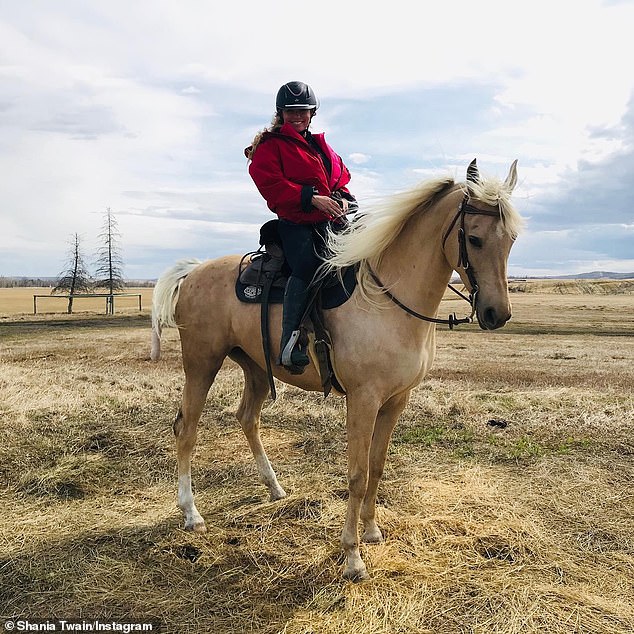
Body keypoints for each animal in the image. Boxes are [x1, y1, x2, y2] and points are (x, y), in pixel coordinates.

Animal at [151, 158, 520, 576]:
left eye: (511, 239)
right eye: (474, 239)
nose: (497, 314)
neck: (387, 299)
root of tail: (194, 272)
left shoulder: (397, 400)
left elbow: (377, 465)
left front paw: (372, 531)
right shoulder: (363, 400)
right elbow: (357, 474)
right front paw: (352, 556)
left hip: (256, 367)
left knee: (247, 418)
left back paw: (274, 488)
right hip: (201, 364)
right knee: (186, 428)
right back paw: (191, 513)